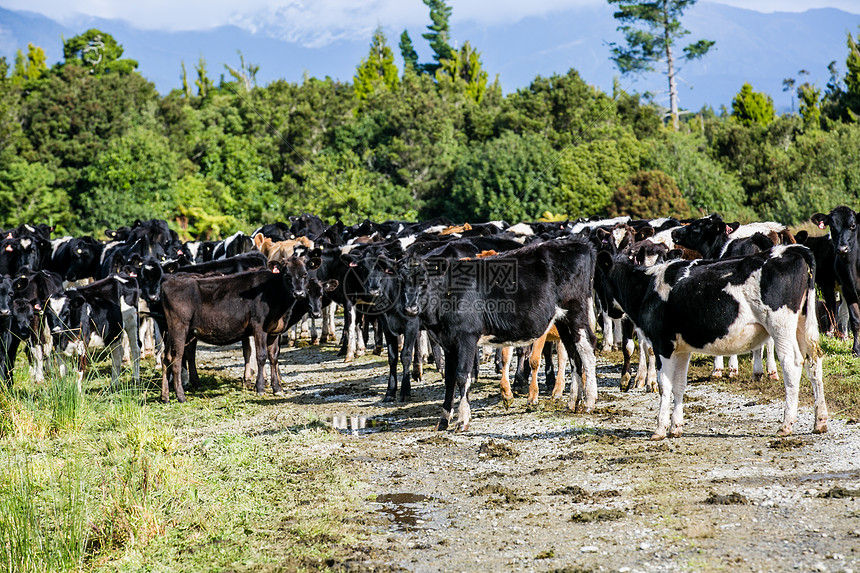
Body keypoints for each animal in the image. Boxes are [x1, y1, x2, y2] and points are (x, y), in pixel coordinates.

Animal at [596, 245, 828, 438]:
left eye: (598, 282)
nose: (609, 311)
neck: (646, 288)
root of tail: (792, 249)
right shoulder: (682, 349)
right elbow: (679, 385)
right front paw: (675, 428)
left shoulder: (663, 343)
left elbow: (665, 386)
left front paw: (660, 429)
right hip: (802, 324)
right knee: (814, 363)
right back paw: (820, 421)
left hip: (780, 326)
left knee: (792, 365)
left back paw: (786, 425)